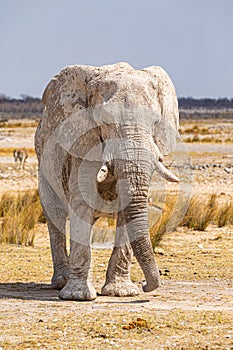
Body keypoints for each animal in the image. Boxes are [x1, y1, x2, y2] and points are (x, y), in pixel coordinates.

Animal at [34, 60, 179, 300]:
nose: (145, 285)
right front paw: (78, 296)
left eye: (156, 122)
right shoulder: (83, 144)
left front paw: (122, 293)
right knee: (55, 214)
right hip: (44, 167)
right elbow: (81, 202)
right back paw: (61, 282)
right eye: (105, 121)